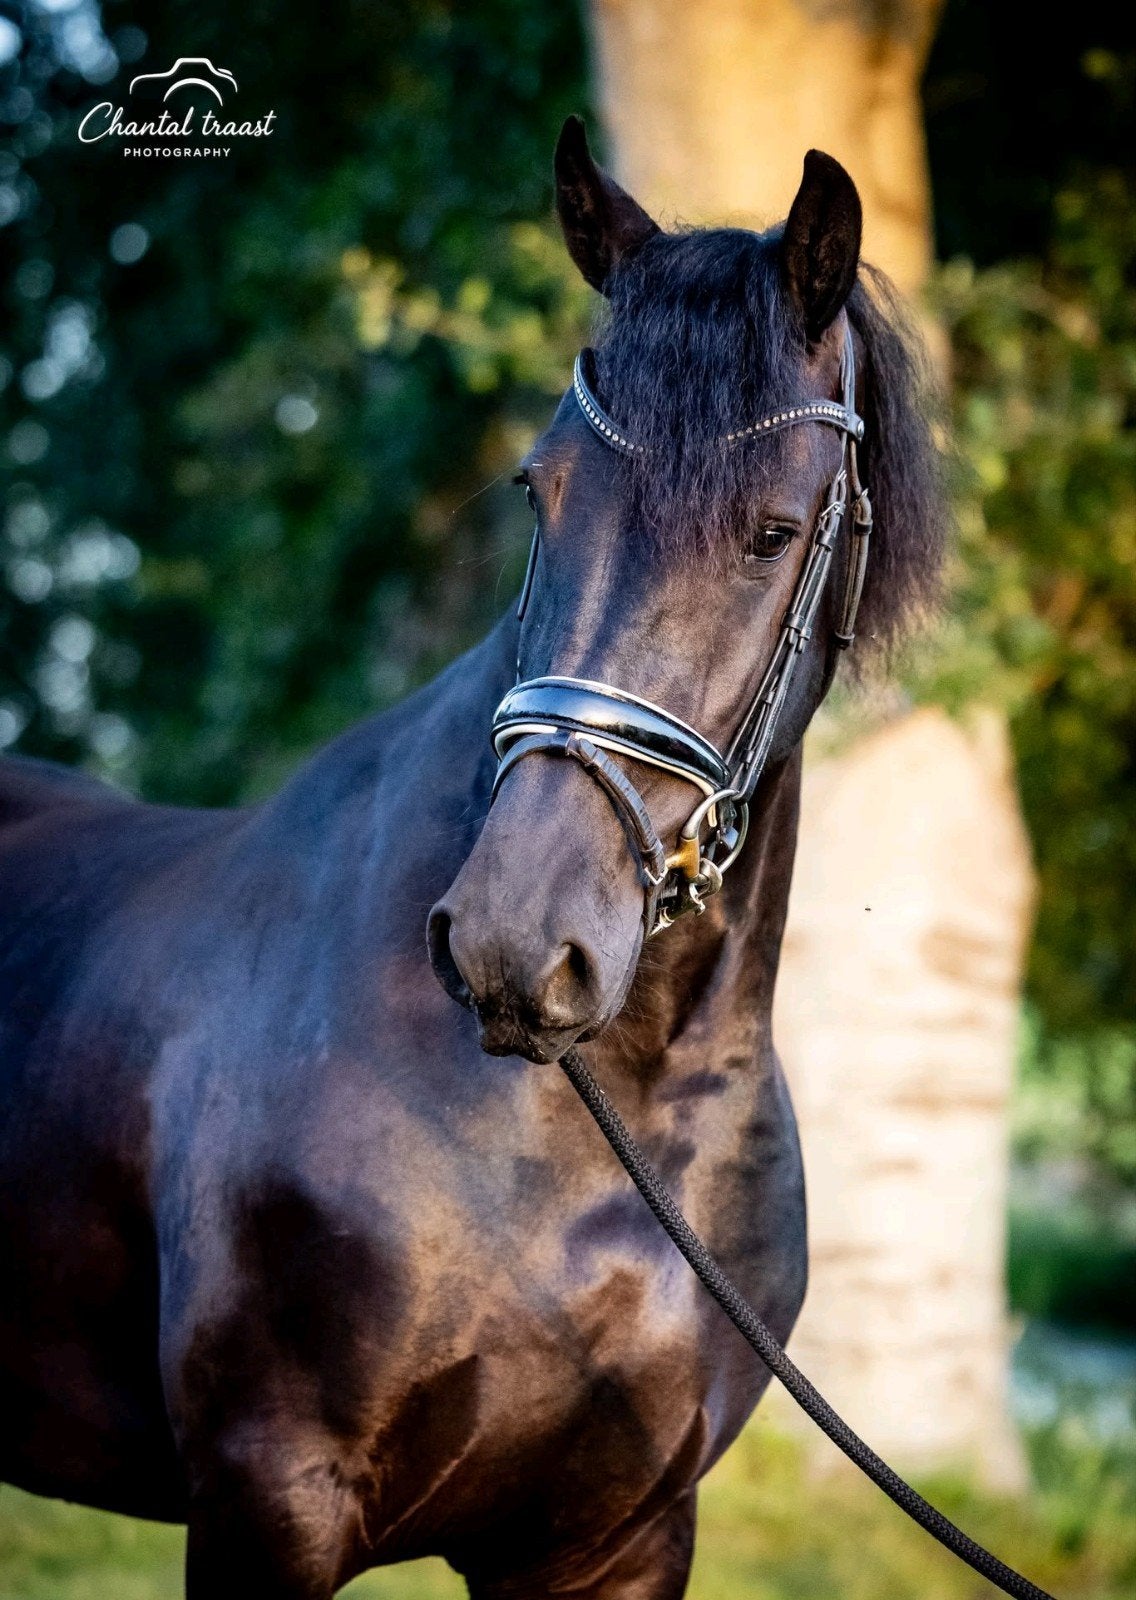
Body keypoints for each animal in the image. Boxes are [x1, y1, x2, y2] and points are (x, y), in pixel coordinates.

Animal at [0, 117, 942, 1598]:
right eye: (538, 492)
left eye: (773, 532)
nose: (513, 943)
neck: (602, 1131)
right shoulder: (269, 1503)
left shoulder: (618, 1540)